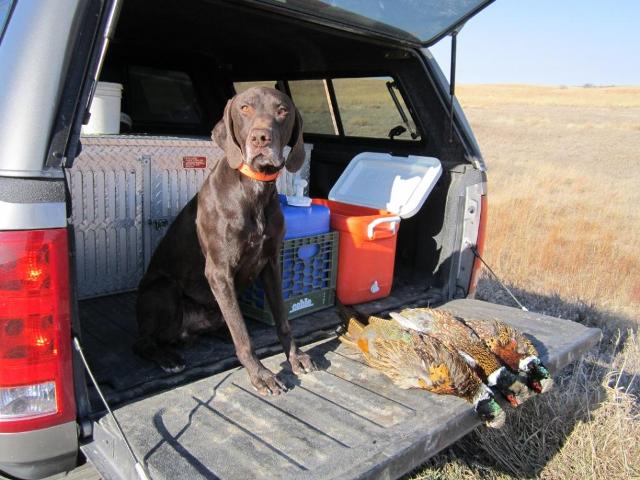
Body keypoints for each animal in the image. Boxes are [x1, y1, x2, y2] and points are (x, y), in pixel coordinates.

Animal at [134, 88, 316, 396]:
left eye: (282, 110)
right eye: (244, 108)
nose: (260, 138)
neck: (255, 188)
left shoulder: (271, 264)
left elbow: (282, 319)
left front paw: (295, 356)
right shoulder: (219, 271)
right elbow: (243, 336)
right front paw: (261, 374)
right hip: (163, 290)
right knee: (143, 341)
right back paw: (168, 358)